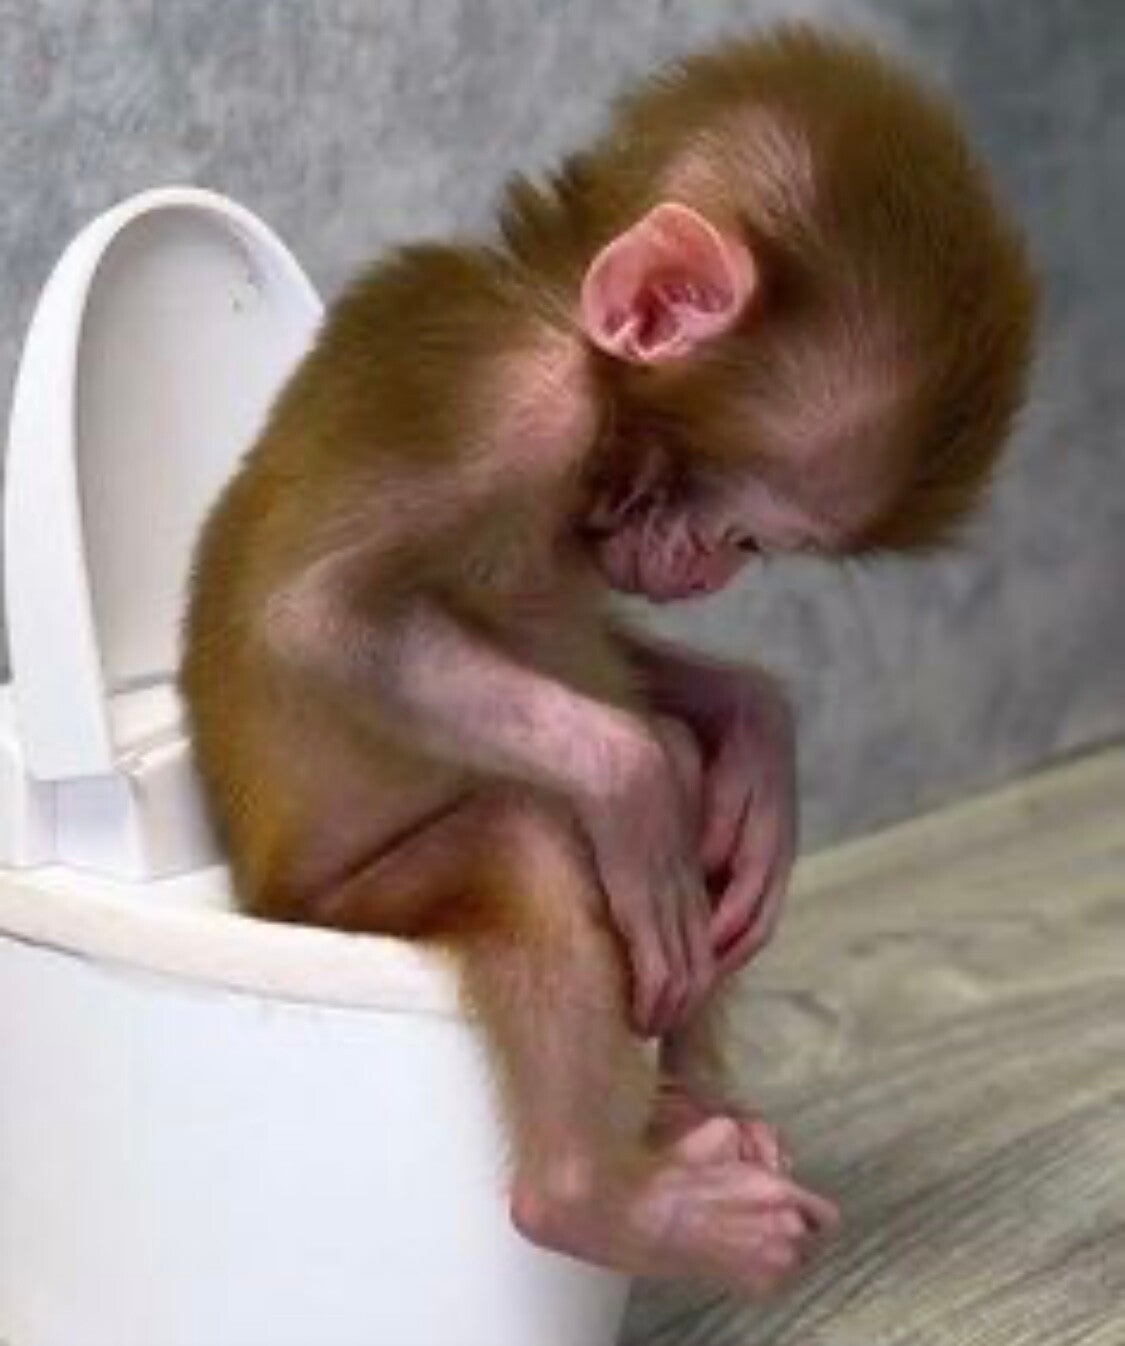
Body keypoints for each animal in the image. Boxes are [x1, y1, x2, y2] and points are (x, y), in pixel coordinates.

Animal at [180, 26, 1036, 1295]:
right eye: (750, 529)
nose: (707, 570)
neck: (550, 315)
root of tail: (251, 888)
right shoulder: (514, 407)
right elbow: (313, 618)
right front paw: (634, 780)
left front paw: (758, 731)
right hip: (342, 905)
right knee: (529, 844)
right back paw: (603, 1196)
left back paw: (687, 1098)